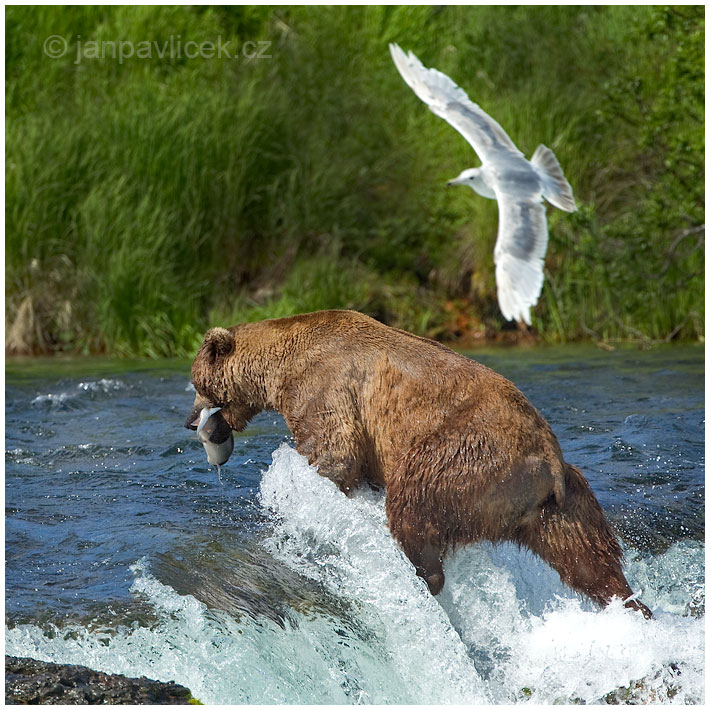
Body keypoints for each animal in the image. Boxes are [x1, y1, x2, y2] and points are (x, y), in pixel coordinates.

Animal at [186, 310, 652, 616]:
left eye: (195, 382)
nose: (191, 420)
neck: (279, 368)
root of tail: (548, 459)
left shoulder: (324, 384)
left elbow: (334, 450)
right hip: (559, 505)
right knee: (588, 557)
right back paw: (630, 603)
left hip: (467, 454)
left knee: (414, 499)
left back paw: (420, 574)